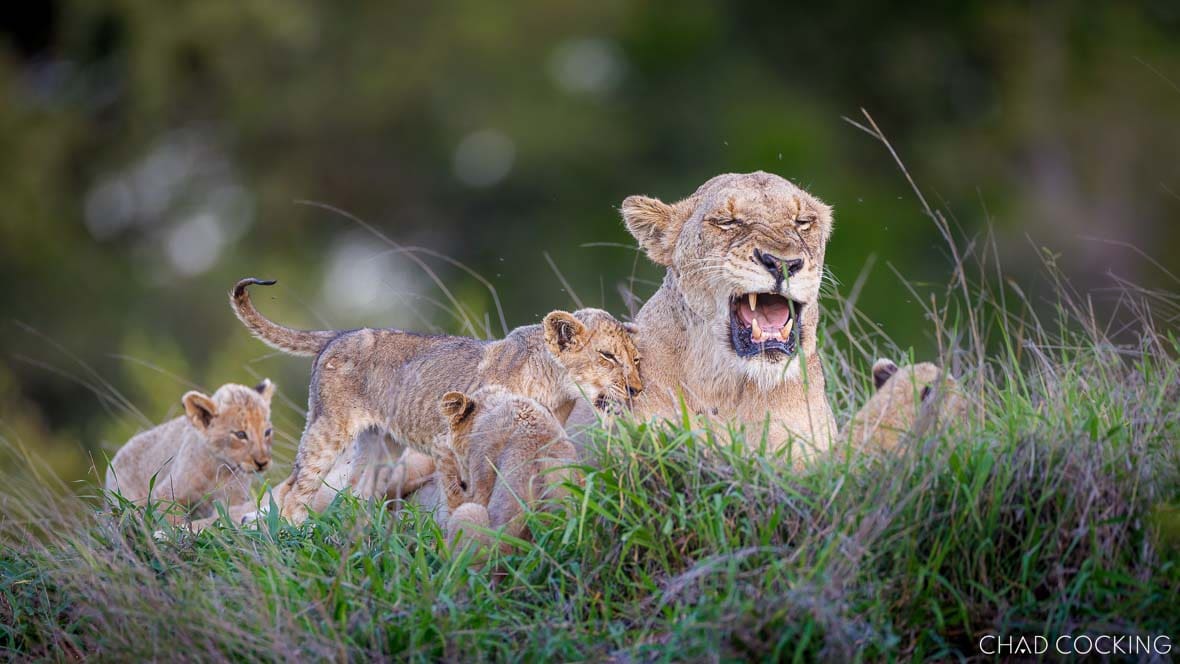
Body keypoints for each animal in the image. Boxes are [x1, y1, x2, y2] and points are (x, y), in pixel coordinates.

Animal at [105, 380, 276, 521]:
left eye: (267, 432)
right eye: (240, 434)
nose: (262, 463)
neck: (219, 469)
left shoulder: (233, 499)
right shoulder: (167, 492)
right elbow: (172, 521)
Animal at [231, 278, 641, 523]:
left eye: (635, 359)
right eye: (607, 356)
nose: (636, 389)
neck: (554, 383)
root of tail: (338, 334)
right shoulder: (447, 442)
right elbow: (460, 496)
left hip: (376, 447)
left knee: (350, 493)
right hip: (329, 432)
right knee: (292, 491)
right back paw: (290, 534)